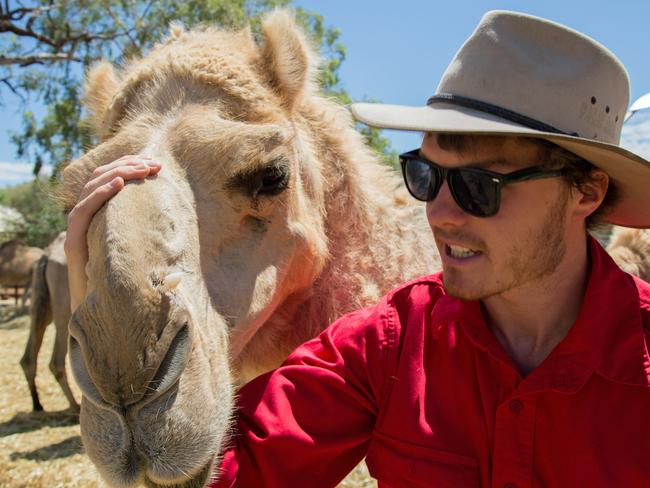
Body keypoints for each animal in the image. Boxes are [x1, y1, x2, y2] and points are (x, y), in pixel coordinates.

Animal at [19, 232, 78, 412]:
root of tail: (47, 255)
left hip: (41, 303)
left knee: (28, 356)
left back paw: (37, 404)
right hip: (65, 309)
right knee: (56, 362)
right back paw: (75, 406)